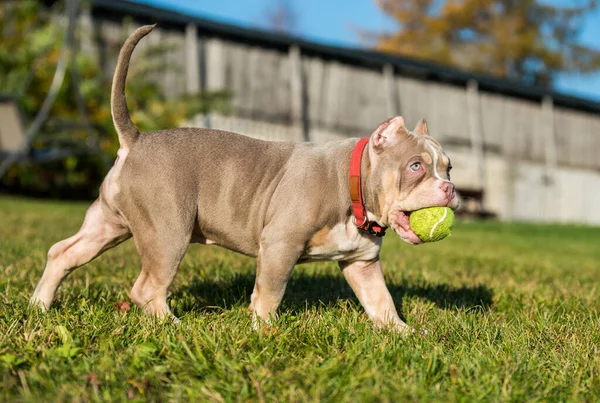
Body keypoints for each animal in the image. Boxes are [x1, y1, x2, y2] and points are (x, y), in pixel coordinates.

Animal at [29, 26, 460, 334]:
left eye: (449, 167)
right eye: (416, 166)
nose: (450, 188)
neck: (352, 184)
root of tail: (135, 140)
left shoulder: (362, 264)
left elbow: (381, 301)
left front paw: (403, 333)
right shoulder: (281, 245)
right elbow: (270, 291)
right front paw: (265, 330)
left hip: (109, 223)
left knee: (63, 253)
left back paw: (39, 306)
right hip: (168, 232)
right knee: (147, 286)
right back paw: (175, 327)